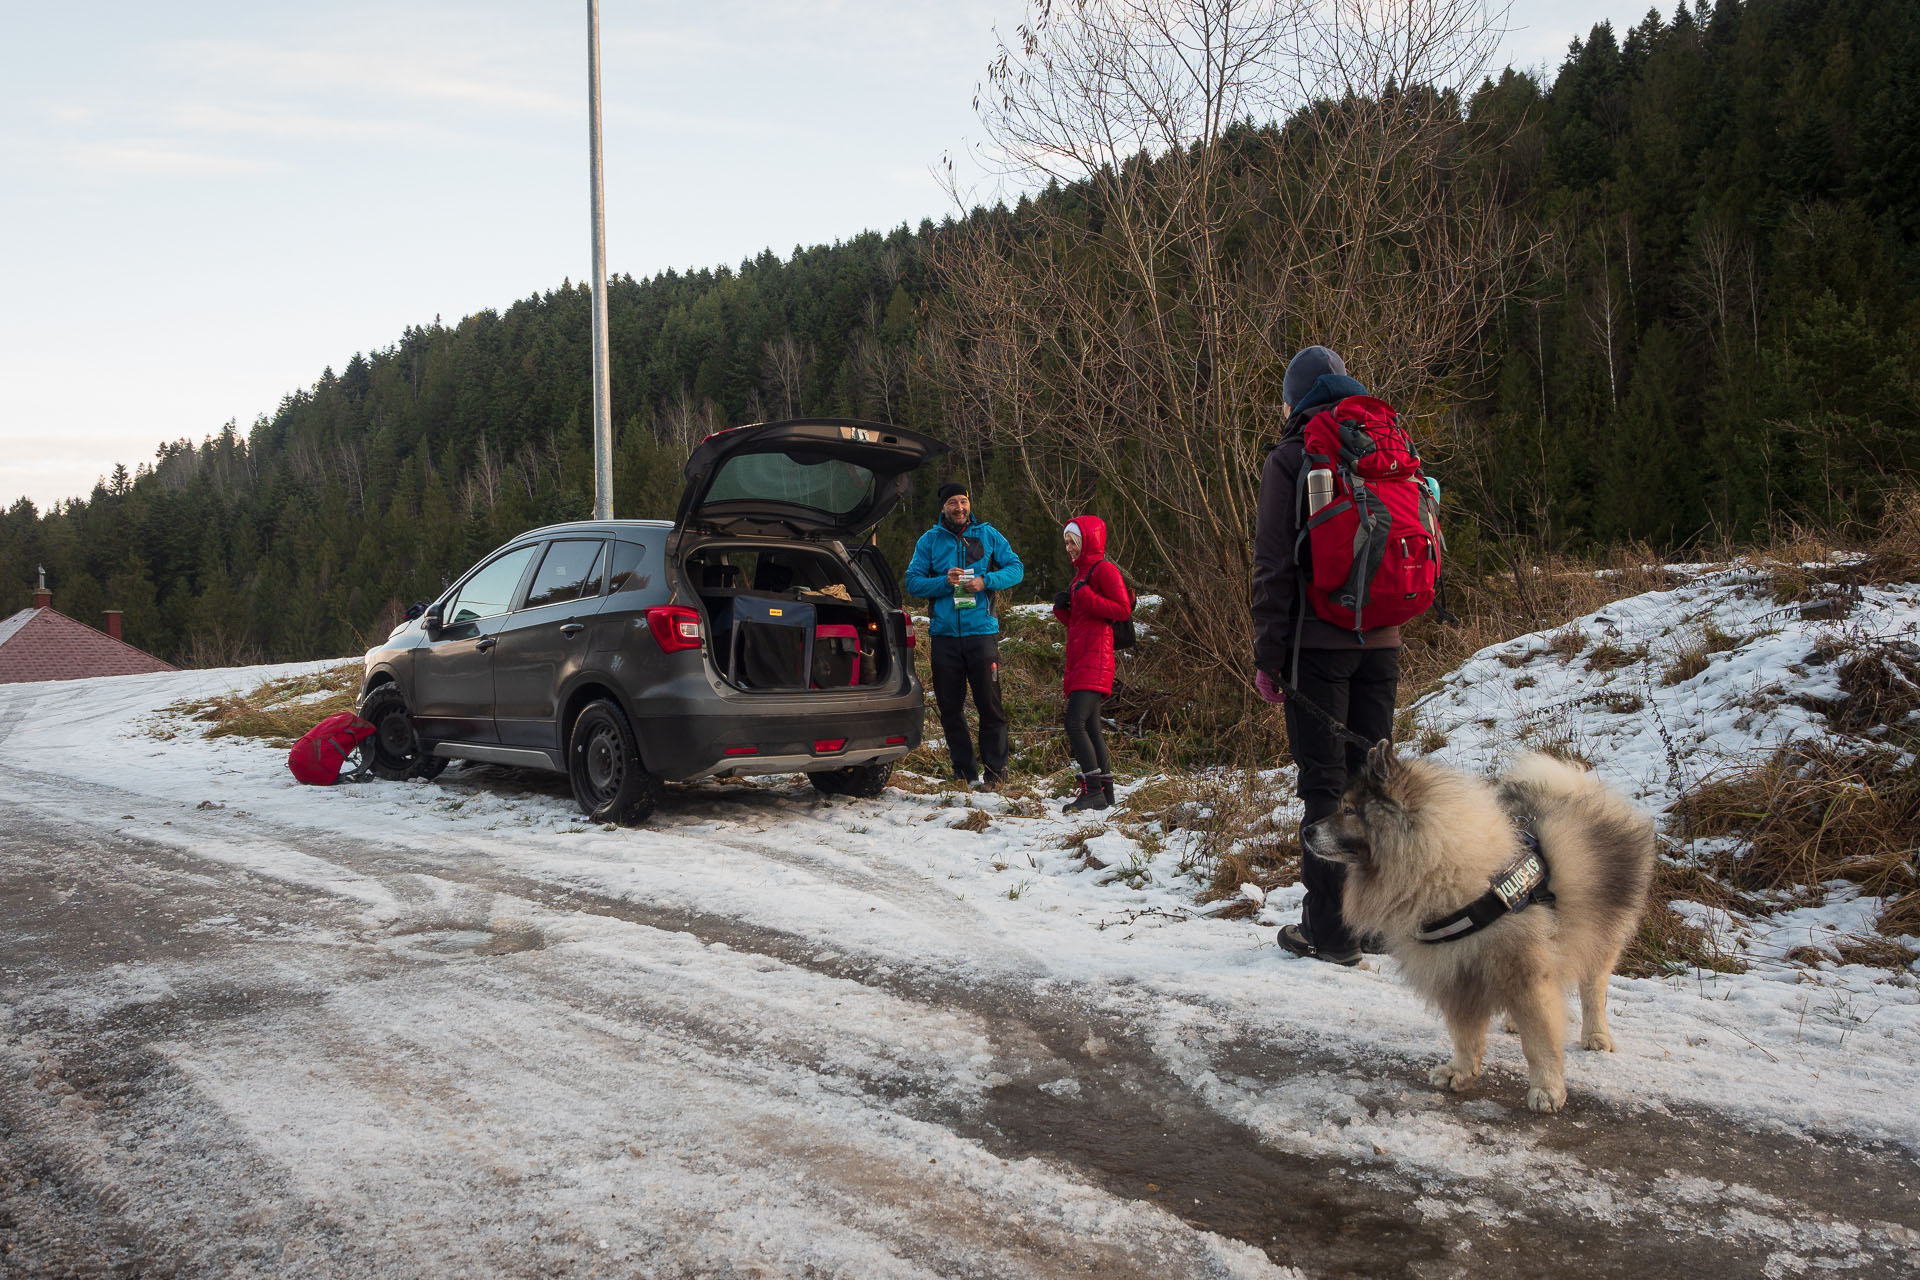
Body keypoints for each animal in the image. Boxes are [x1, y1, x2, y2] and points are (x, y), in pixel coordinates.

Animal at [1313, 740, 1658, 1113]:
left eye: (1348, 810)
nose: (1306, 831)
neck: (1444, 867)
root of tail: (1577, 787)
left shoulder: (1523, 970)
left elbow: (1540, 1041)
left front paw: (1547, 1088)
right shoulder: (1456, 974)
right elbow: (1465, 1033)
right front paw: (1461, 1071)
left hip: (1602, 933)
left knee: (1594, 989)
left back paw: (1596, 1035)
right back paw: (1512, 1023)